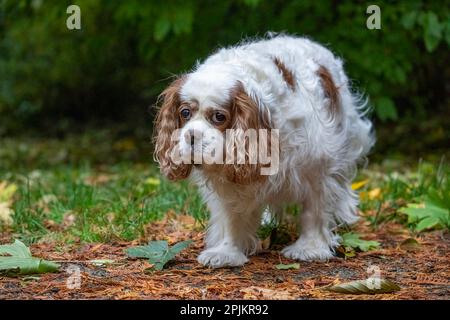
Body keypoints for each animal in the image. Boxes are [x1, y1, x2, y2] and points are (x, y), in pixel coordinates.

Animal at [153, 33, 374, 268]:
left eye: (219, 117)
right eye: (185, 112)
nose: (191, 135)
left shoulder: (317, 165)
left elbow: (314, 211)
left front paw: (310, 248)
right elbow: (232, 217)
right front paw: (226, 252)